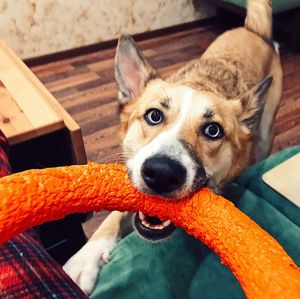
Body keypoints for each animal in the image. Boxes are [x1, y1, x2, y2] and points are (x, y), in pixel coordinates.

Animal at [62, 0, 282, 296]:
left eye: (213, 131)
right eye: (154, 116)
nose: (162, 173)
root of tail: (255, 31)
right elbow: (114, 215)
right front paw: (86, 258)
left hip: (267, 129)